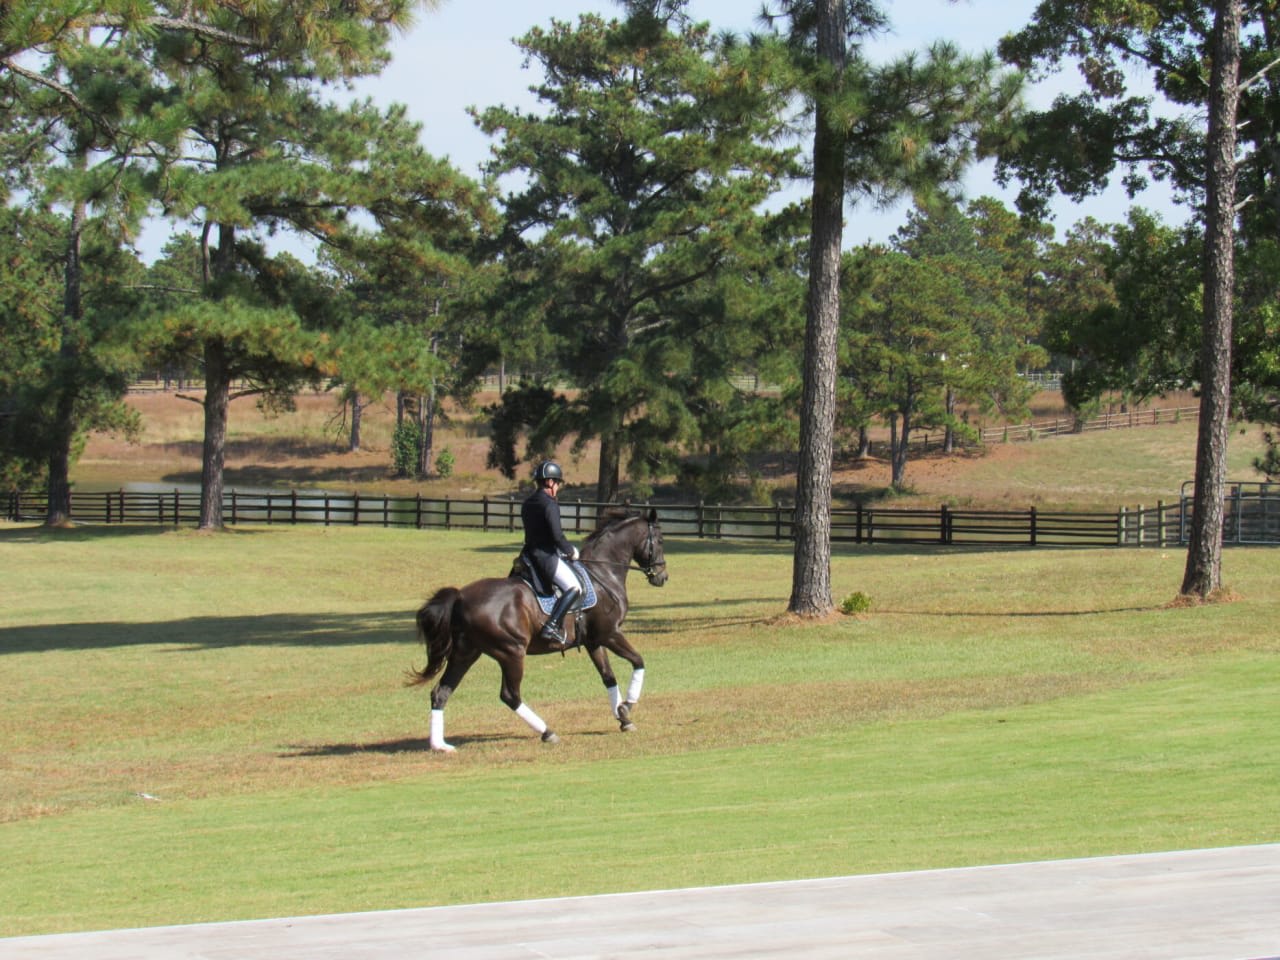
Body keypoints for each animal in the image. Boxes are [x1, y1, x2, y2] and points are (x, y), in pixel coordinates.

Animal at [409, 506, 670, 757]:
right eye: (659, 540)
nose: (663, 577)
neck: (604, 575)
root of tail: (461, 597)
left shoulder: (593, 641)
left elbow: (608, 677)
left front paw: (623, 718)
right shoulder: (610, 634)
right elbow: (638, 661)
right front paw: (626, 706)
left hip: (466, 653)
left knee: (441, 692)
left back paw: (440, 745)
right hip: (511, 652)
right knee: (510, 695)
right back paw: (548, 732)